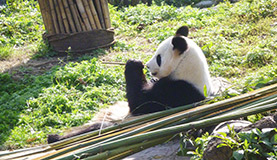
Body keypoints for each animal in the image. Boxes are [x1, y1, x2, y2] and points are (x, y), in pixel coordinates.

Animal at [47, 25, 211, 143]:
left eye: (158, 58)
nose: (147, 66)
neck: (184, 68)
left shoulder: (178, 91)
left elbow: (141, 103)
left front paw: (134, 64)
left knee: (95, 129)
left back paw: (55, 137)